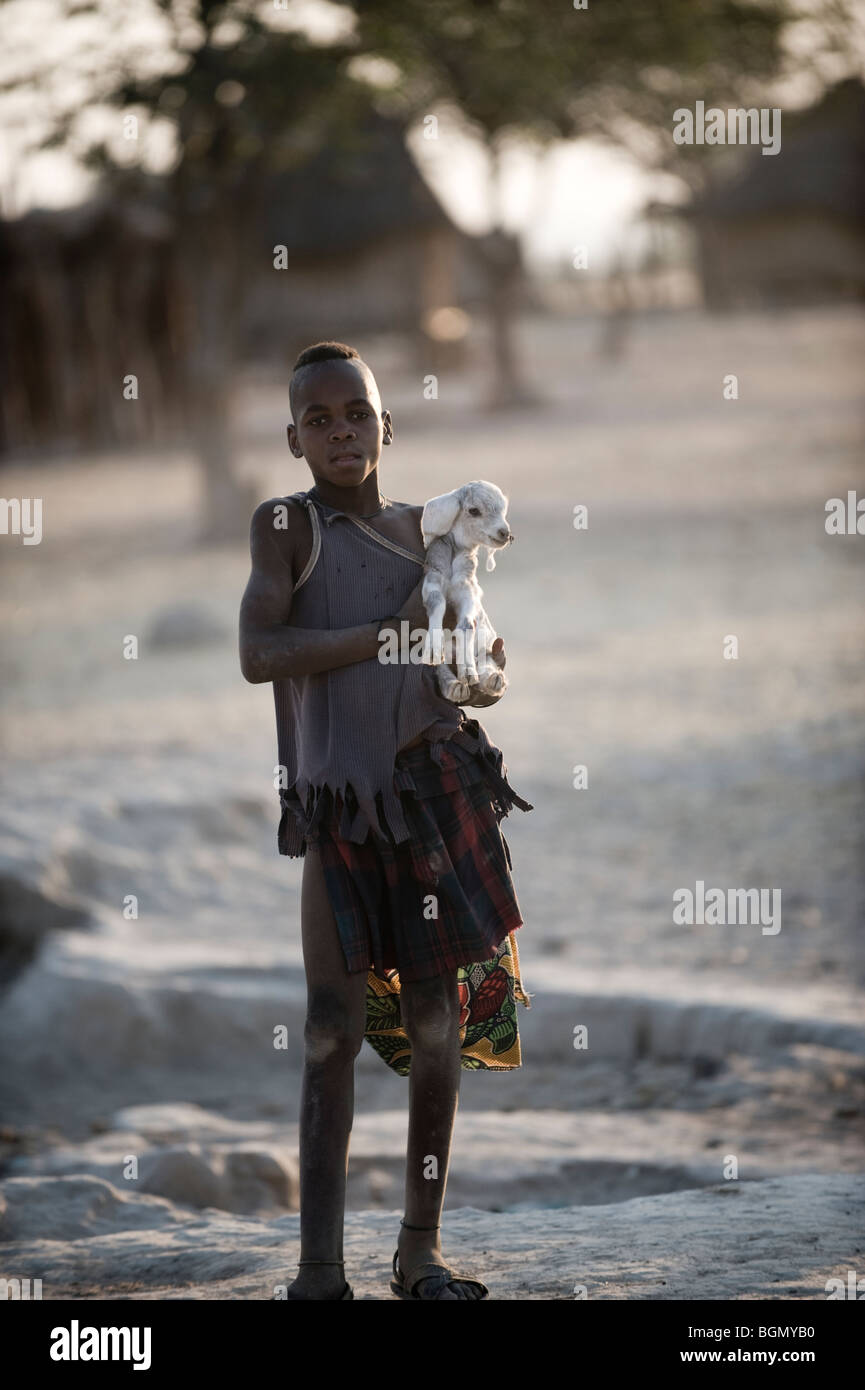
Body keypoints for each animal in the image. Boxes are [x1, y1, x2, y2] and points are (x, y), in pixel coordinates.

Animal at [419, 480, 514, 706]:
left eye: (503, 511)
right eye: (474, 511)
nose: (504, 533)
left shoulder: (467, 589)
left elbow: (467, 624)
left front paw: (469, 671)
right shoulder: (433, 578)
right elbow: (436, 603)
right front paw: (433, 648)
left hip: (486, 645)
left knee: (486, 662)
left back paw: (493, 680)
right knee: (442, 669)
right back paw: (455, 687)